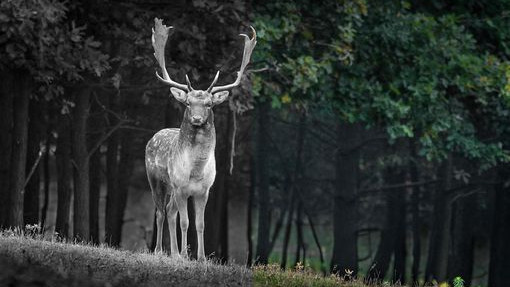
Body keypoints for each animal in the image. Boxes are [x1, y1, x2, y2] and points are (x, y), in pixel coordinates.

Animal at [144, 18, 255, 260]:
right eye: (188, 103)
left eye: (209, 104)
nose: (196, 118)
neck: (195, 171)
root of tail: (154, 136)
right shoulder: (181, 187)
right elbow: (185, 222)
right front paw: (186, 255)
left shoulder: (204, 191)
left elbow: (200, 224)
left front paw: (201, 257)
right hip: (156, 180)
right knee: (160, 212)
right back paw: (160, 251)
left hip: (172, 189)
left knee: (169, 211)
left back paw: (174, 253)